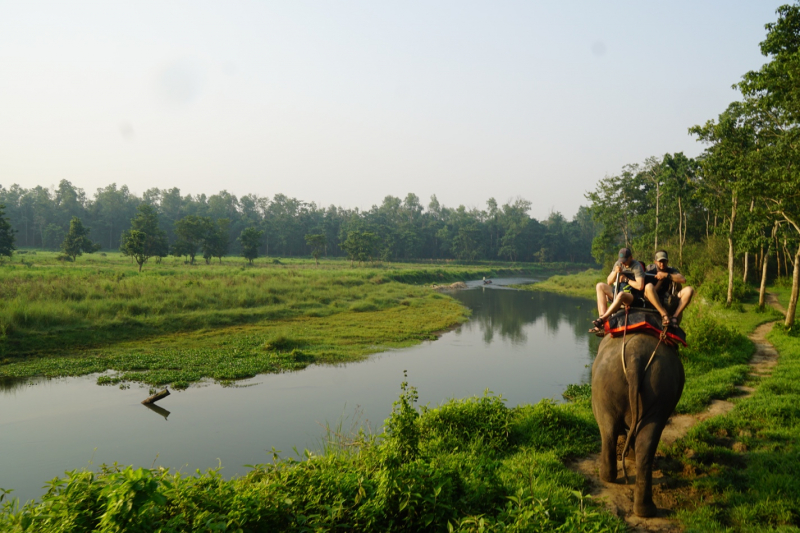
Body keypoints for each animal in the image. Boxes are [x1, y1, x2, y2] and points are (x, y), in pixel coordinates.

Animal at [592, 332, 684, 516]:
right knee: (642, 440)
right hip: (657, 388)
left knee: (609, 429)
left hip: (608, 387)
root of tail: (636, 358)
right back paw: (644, 508)